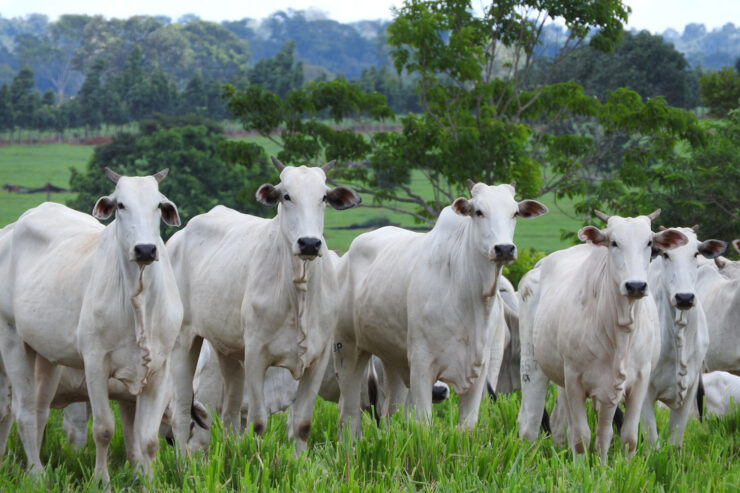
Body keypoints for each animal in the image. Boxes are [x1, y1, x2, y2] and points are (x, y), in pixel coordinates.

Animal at [0, 168, 183, 481]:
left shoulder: (160, 368)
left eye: (159, 205)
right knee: (22, 413)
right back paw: (36, 474)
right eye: (120, 205)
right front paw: (101, 480)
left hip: (47, 356)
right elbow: (104, 429)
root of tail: (10, 229)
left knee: (39, 410)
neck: (138, 298)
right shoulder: (96, 362)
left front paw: (149, 482)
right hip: (12, 339)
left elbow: (147, 439)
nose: (145, 249)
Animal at [167, 157, 361, 455]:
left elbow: (302, 425)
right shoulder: (256, 356)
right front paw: (257, 459)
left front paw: (299, 462)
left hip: (227, 351)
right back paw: (181, 462)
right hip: (184, 340)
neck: (298, 292)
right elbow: (258, 424)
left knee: (229, 414)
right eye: (286, 195)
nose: (309, 243)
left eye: (324, 197)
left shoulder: (317, 358)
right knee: (180, 414)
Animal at [333, 180, 547, 438]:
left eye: (514, 213)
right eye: (478, 211)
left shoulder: (480, 372)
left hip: (392, 359)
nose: (504, 249)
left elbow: (467, 426)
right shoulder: (422, 367)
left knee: (389, 413)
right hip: (348, 349)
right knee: (348, 414)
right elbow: (424, 425)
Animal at [517, 210, 687, 460]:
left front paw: (614, 466)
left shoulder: (637, 381)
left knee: (562, 424)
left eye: (649, 243)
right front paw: (581, 467)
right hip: (534, 364)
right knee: (530, 422)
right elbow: (581, 437)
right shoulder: (575, 379)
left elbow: (622, 437)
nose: (636, 286)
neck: (618, 331)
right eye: (614, 242)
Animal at [640, 227, 726, 445]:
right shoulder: (644, 391)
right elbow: (652, 441)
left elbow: (674, 443)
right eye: (666, 254)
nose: (684, 297)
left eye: (695, 253)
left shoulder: (691, 389)